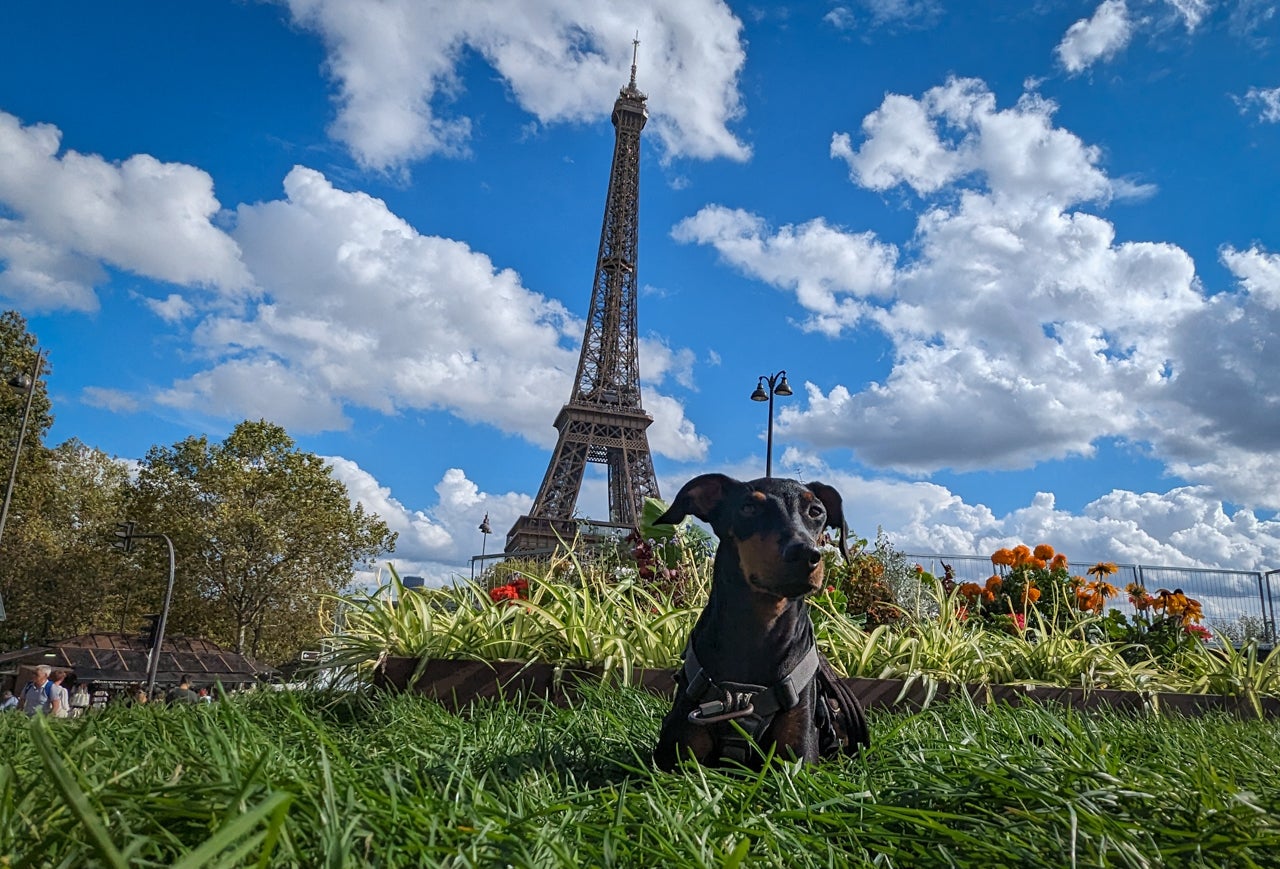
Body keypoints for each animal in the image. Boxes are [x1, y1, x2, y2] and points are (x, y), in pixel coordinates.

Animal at [650, 473, 870, 773]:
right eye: (748, 508)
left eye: (816, 511)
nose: (806, 553)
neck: (757, 629)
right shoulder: (673, 759)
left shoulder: (797, 758)